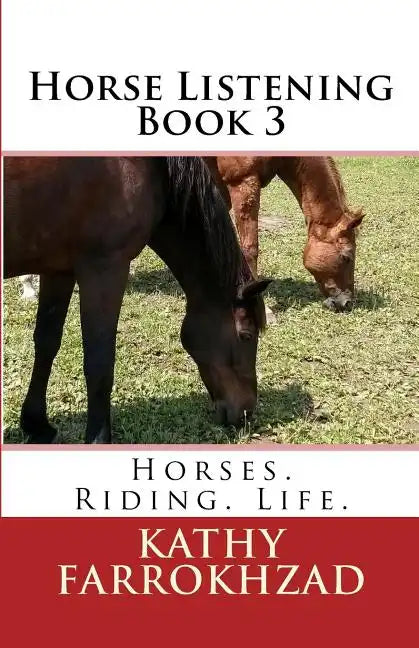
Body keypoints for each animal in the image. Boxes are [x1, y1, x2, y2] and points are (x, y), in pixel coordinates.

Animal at [4, 156, 270, 443]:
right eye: (246, 336)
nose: (246, 412)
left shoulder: (58, 270)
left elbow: (46, 343)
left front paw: (36, 424)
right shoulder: (105, 268)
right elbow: (99, 363)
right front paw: (98, 438)